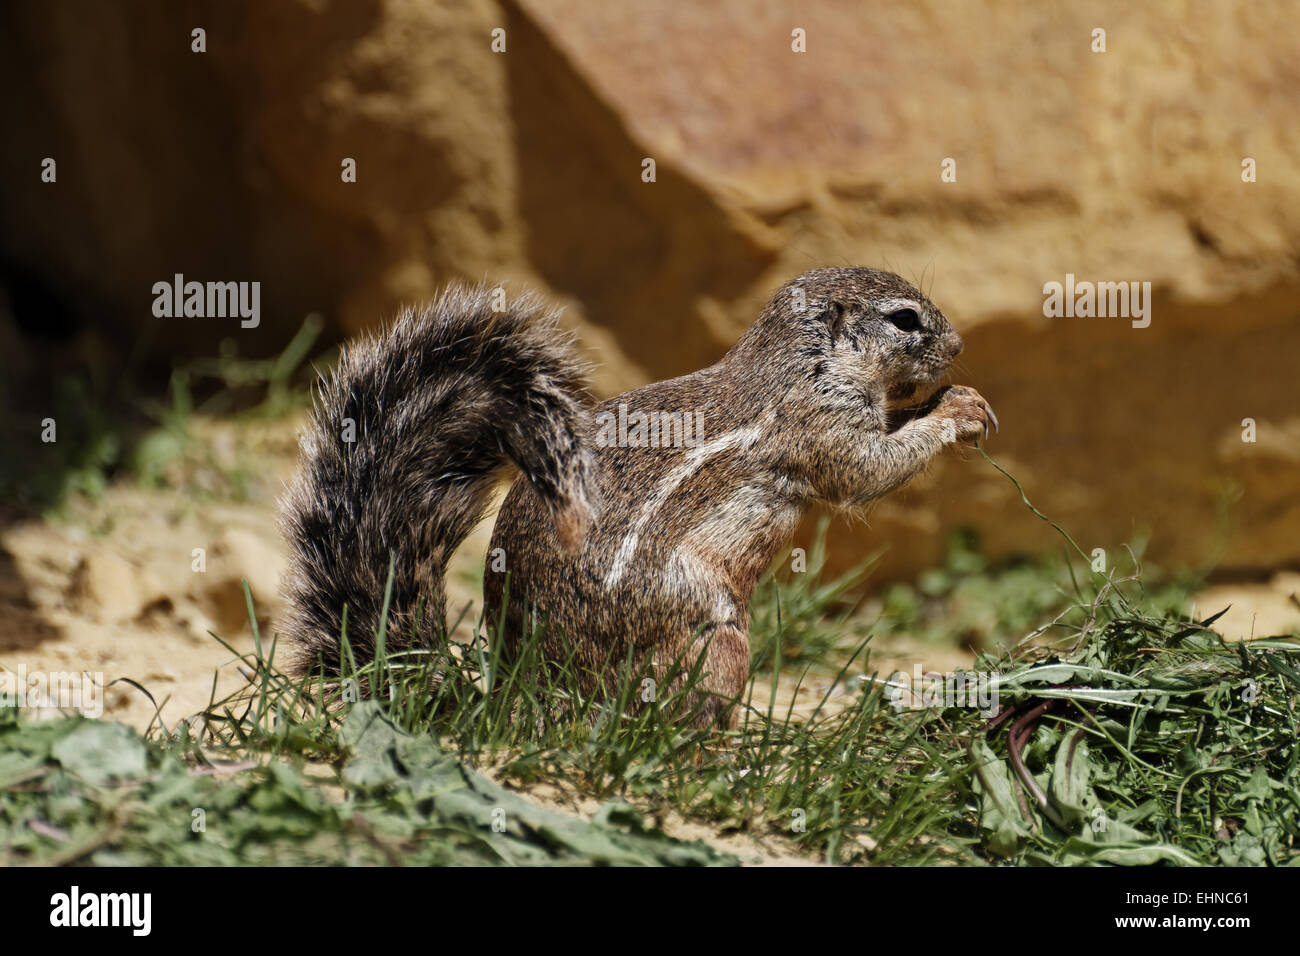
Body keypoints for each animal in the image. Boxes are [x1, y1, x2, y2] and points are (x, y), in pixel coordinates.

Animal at [282, 265, 993, 728]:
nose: (961, 345)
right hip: (712, 639)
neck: (800, 363)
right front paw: (959, 409)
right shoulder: (820, 427)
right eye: (905, 319)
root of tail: (531, 695)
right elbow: (867, 471)